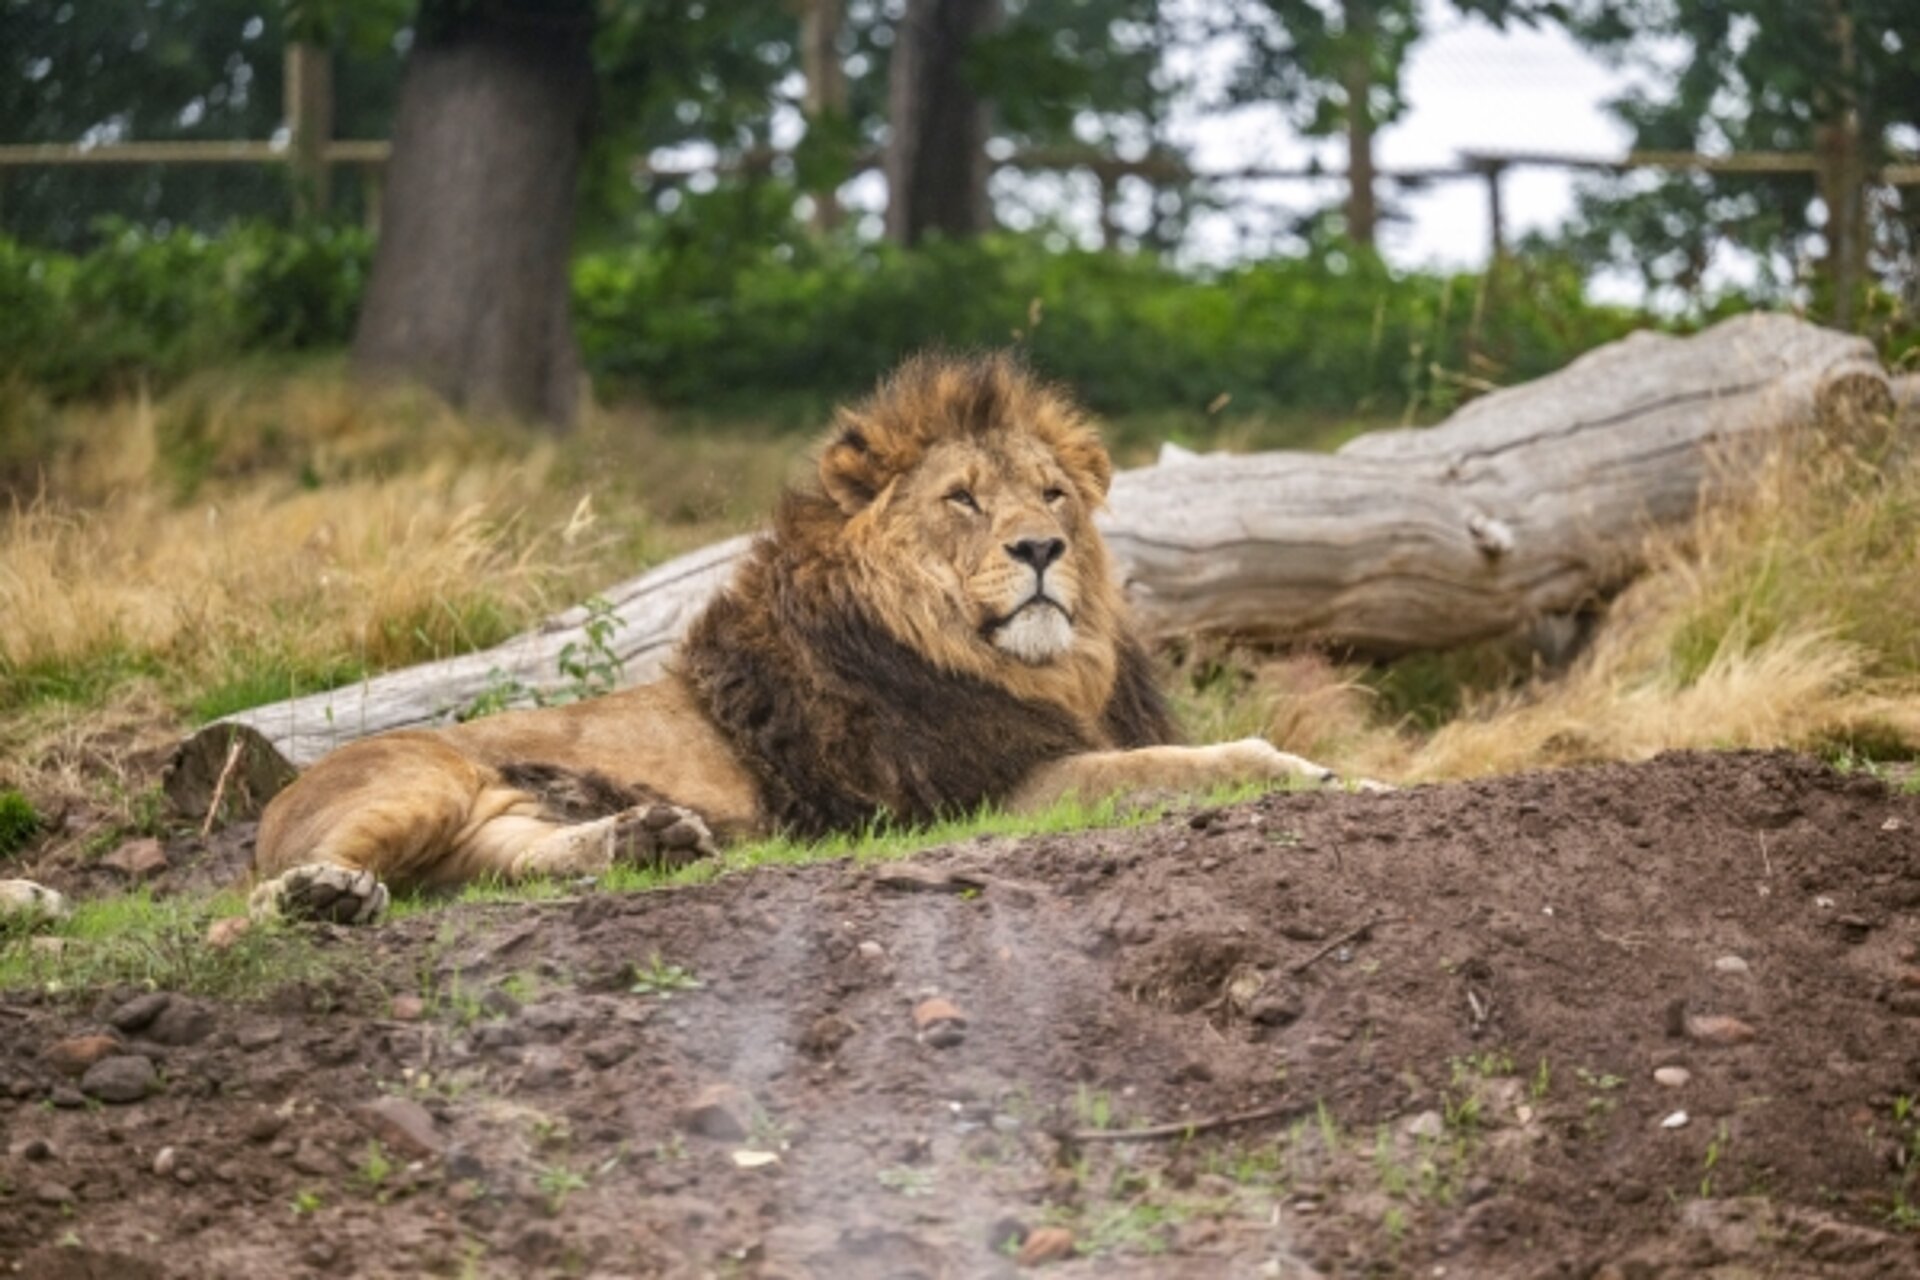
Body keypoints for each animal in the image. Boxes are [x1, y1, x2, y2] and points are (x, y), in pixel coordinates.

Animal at [249, 352, 1347, 924]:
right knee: (241, 910)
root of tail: (279, 796)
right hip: (417, 780)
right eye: (962, 499)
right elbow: (1174, 765)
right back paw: (322, 895)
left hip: (489, 826)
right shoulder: (982, 792)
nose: (1042, 547)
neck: (1031, 666)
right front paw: (1314, 771)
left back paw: (644, 838)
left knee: (503, 862)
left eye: (1052, 495)